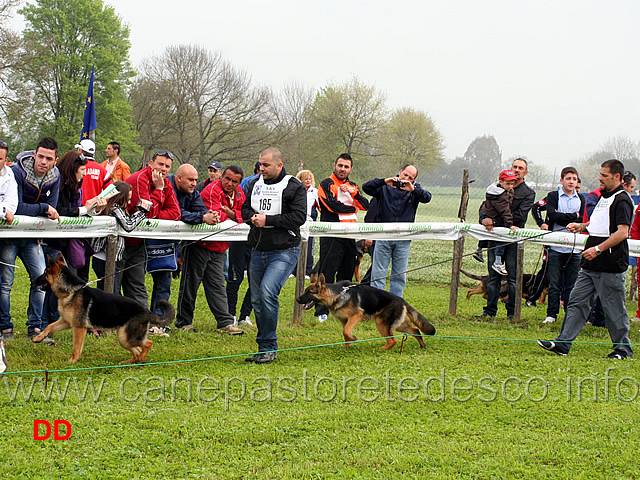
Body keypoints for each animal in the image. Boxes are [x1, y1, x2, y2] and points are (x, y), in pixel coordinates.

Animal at [34, 253, 175, 362]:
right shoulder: (67, 322)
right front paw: (38, 338)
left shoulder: (79, 328)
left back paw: (140, 359)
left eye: (44, 273)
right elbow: (49, 326)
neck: (72, 291)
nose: (35, 280)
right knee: (138, 350)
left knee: (147, 344)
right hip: (123, 338)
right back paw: (129, 362)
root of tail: (146, 311)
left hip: (126, 337)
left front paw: (72, 361)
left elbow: (76, 348)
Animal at [296, 274, 436, 348]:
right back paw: (422, 345)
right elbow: (345, 332)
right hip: (398, 325)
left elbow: (346, 331)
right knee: (415, 330)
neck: (337, 294)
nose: (297, 299)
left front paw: (353, 339)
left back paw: (382, 348)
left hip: (381, 323)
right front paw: (347, 346)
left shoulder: (356, 316)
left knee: (393, 340)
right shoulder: (345, 320)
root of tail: (402, 301)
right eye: (305, 290)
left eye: (309, 292)